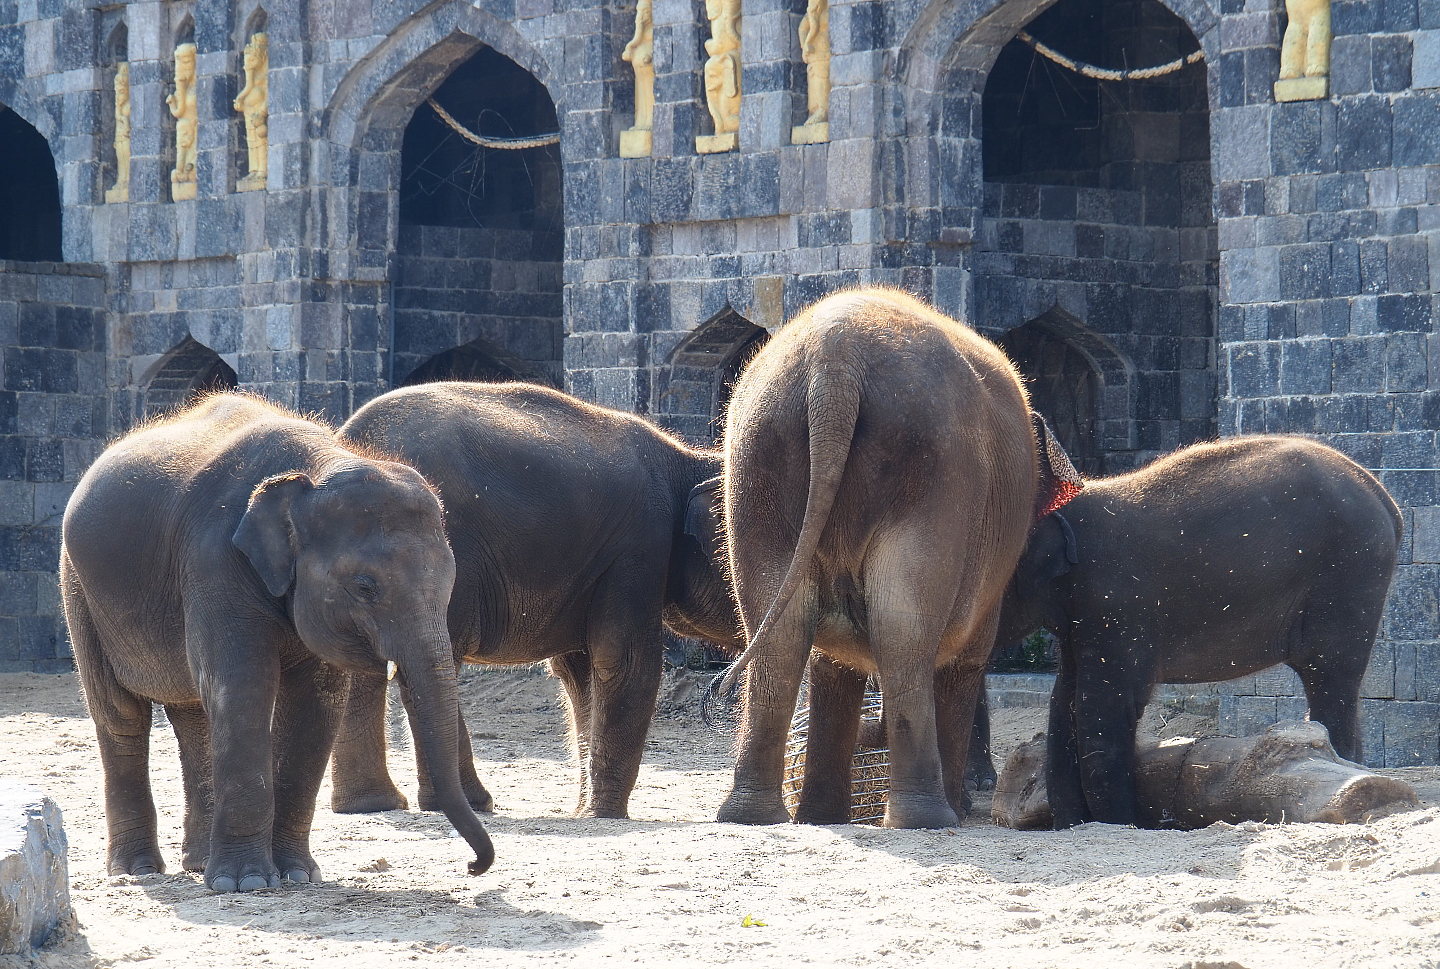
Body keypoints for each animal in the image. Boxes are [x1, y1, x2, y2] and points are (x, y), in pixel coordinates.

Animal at [60, 393, 494, 892]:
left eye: (449, 584)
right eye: (365, 588)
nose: (472, 867)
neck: (320, 464)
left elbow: (317, 700)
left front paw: (296, 874)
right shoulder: (214, 560)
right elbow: (243, 685)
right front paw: (245, 884)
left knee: (192, 713)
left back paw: (198, 864)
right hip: (79, 590)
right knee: (121, 717)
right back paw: (138, 871)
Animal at [330, 381, 743, 819]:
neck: (687, 462)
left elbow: (578, 673)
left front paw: (582, 811)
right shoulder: (639, 547)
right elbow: (626, 660)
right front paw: (602, 814)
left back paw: (374, 804)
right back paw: (466, 803)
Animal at [714, 287, 1082, 829]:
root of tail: (834, 368)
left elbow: (831, 660)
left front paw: (822, 816)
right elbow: (966, 658)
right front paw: (959, 806)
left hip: (757, 465)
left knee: (781, 632)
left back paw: (759, 816)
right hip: (932, 474)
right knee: (903, 629)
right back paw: (931, 817)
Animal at [996, 434, 1403, 828]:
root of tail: (1385, 498)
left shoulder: (1118, 605)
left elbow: (1102, 707)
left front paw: (1120, 825)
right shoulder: (1082, 617)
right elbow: (1063, 699)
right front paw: (1073, 824)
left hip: (1350, 573)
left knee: (1331, 677)